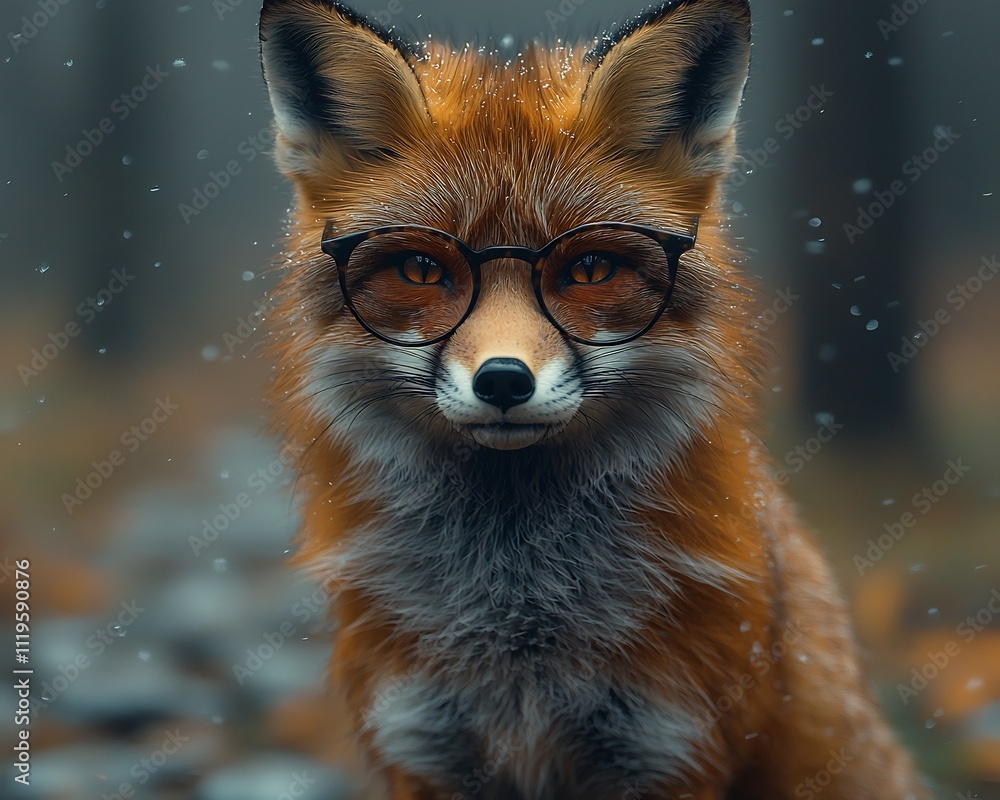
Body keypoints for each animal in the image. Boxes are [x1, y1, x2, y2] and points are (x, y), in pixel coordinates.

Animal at [258, 0, 931, 797]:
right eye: (421, 269)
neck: (519, 620)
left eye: (589, 269)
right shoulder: (421, 743)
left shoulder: (672, 745)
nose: (504, 380)